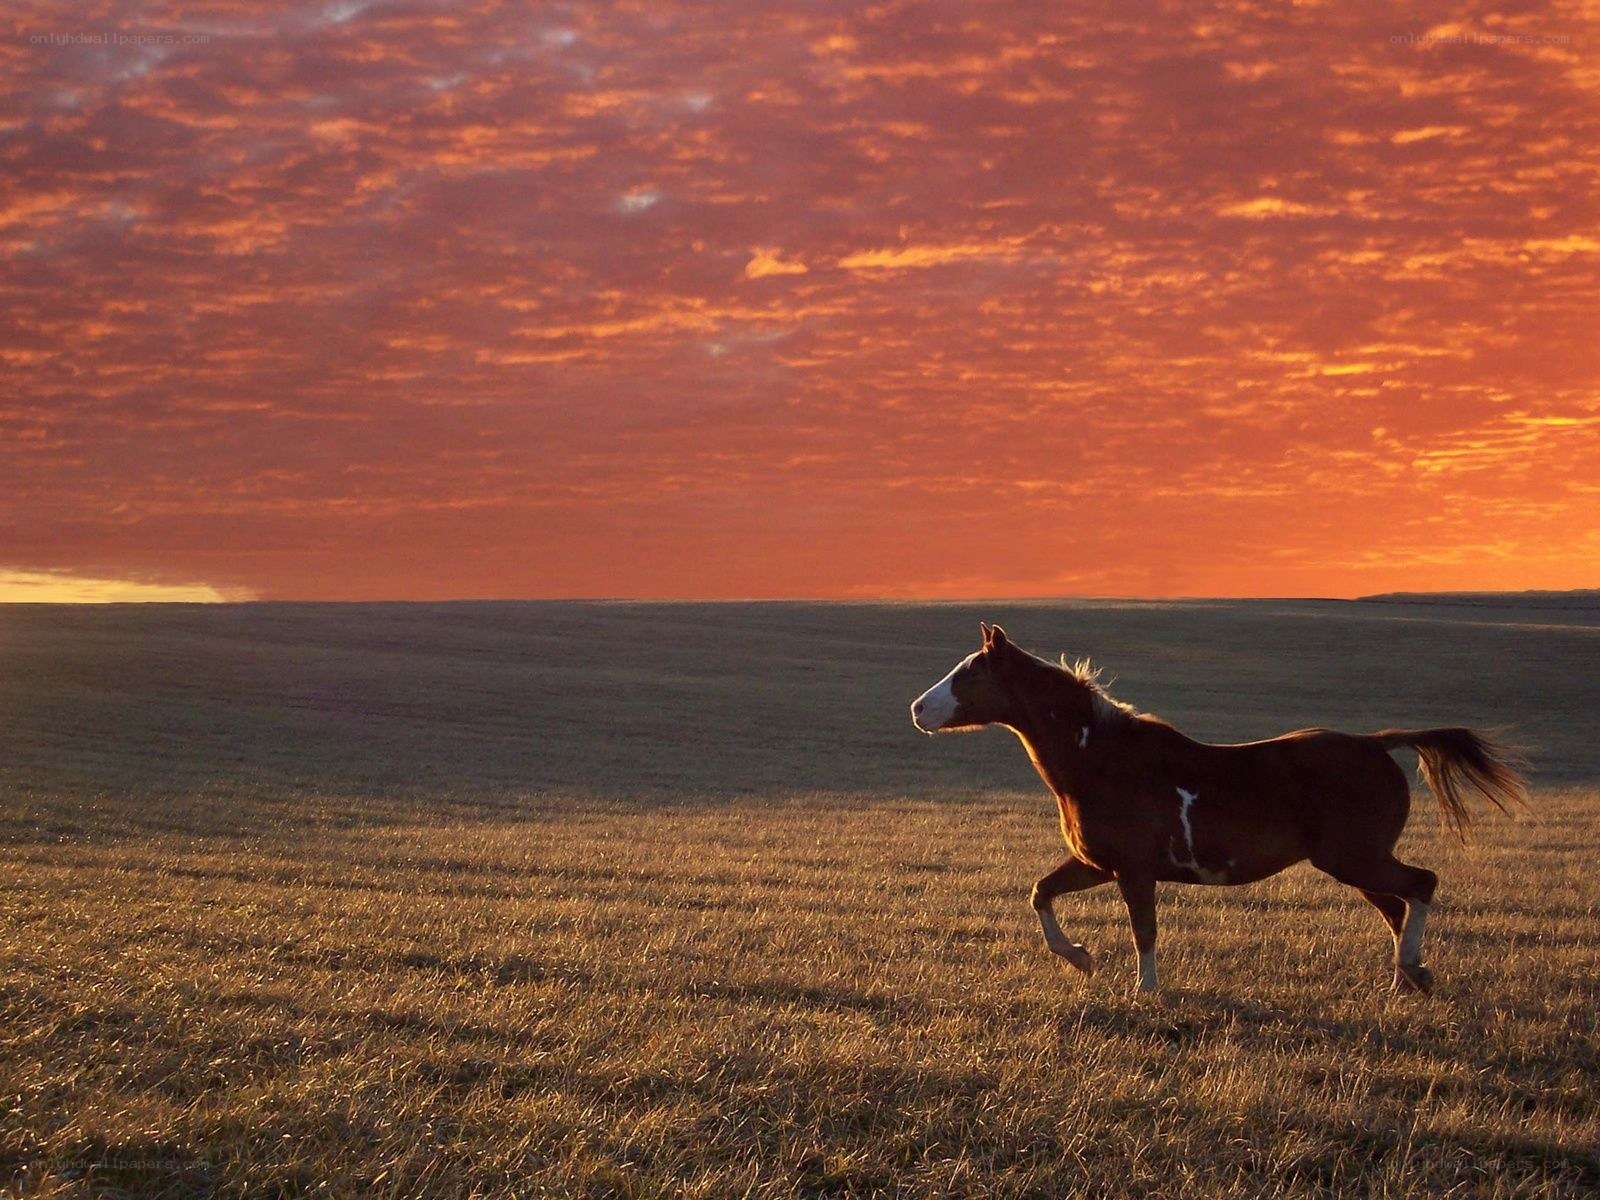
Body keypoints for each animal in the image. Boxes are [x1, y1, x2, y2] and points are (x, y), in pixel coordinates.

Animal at [909, 623, 1528, 995]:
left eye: (968, 673)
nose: (917, 708)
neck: (1100, 761)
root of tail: (1377, 744)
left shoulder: (1134, 871)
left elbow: (1144, 930)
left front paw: (1146, 992)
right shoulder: (1096, 864)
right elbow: (1041, 893)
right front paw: (1081, 958)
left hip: (1356, 858)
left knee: (1421, 884)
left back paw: (1413, 968)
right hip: (1352, 862)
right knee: (1397, 908)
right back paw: (1405, 979)